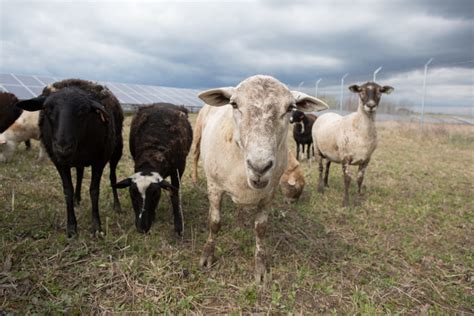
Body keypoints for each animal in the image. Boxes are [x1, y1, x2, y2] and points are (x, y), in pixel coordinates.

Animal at [16, 79, 123, 237]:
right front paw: (72, 228)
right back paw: (77, 199)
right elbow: (68, 190)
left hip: (116, 150)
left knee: (113, 177)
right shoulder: (58, 161)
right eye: (47, 109)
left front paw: (97, 227)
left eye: (83, 111)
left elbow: (94, 190)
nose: (63, 148)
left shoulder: (99, 160)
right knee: (79, 173)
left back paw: (117, 206)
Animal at [113, 105, 193, 236]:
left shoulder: (179, 169)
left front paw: (178, 226)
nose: (142, 228)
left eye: (156, 194)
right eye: (132, 193)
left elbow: (175, 194)